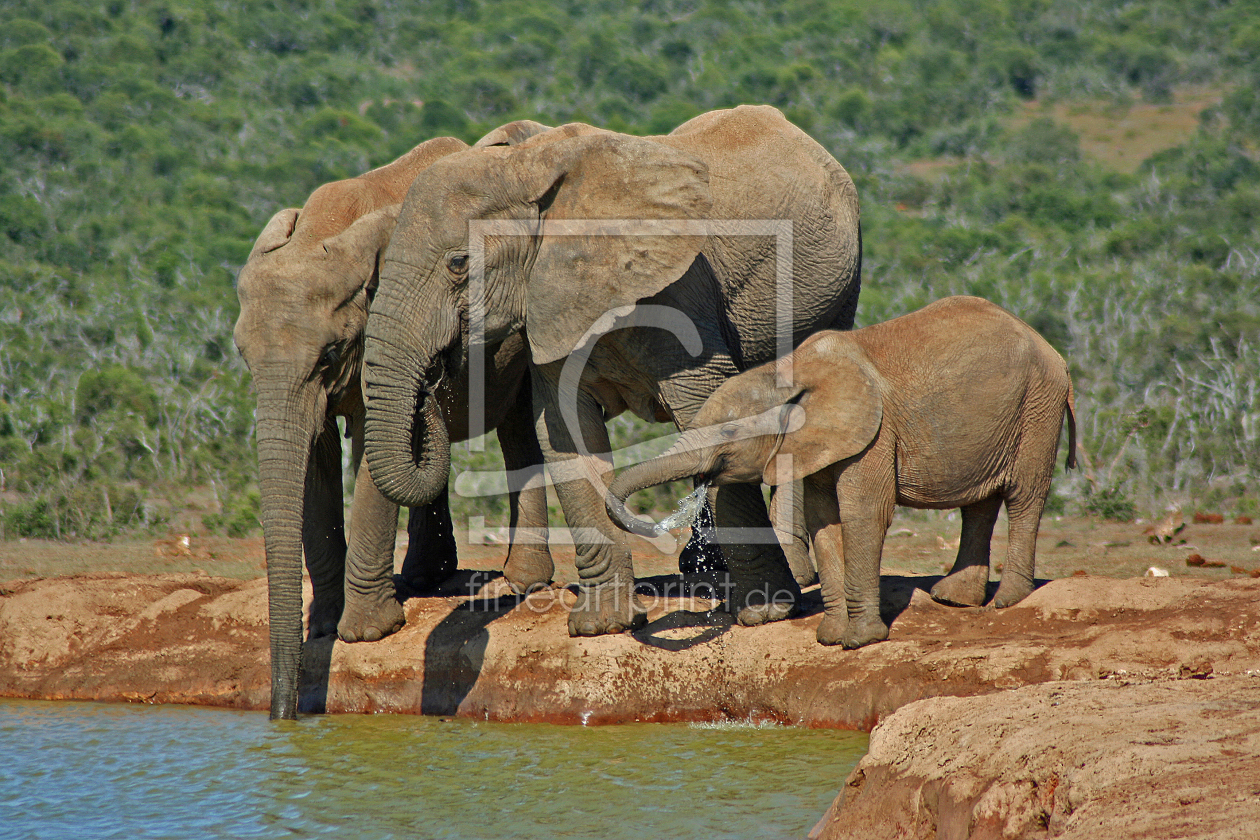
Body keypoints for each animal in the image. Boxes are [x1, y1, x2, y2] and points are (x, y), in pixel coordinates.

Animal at [234, 124, 554, 725]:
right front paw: (324, 627)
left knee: (519, 426)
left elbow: (367, 452)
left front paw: (364, 634)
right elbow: (315, 458)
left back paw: (521, 581)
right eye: (241, 355)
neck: (325, 231)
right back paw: (427, 578)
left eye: (330, 353)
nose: (284, 715)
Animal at [360, 108, 861, 639]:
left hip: (837, 293)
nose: (437, 370)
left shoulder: (679, 295)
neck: (525, 166)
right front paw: (602, 626)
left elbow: (707, 410)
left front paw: (764, 612)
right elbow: (565, 433)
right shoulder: (550, 303)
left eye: (459, 263)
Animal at [604, 295, 1078, 649]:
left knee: (1024, 496)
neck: (789, 371)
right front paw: (830, 638)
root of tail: (1054, 352)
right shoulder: (815, 441)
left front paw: (861, 641)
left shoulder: (873, 431)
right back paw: (954, 599)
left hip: (1039, 404)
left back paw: (1007, 600)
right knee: (978, 503)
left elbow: (862, 516)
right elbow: (823, 520)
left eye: (731, 431)